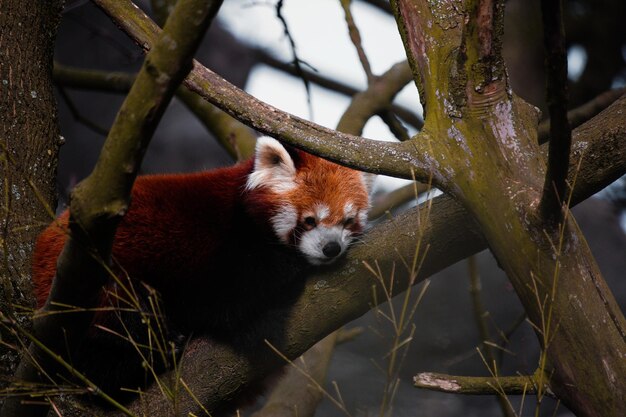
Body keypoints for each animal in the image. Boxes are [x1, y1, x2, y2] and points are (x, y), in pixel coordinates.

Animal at [31, 136, 368, 404]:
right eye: (310, 220)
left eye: (347, 221)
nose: (331, 248)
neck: (245, 214)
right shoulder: (214, 251)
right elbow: (226, 300)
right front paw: (292, 264)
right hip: (92, 287)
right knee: (119, 319)